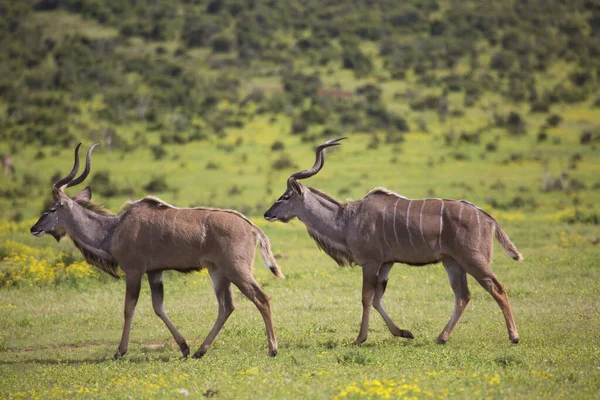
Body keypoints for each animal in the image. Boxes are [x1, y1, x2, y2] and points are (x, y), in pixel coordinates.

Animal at [31, 144, 284, 360]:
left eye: (52, 209)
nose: (34, 228)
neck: (113, 229)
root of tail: (253, 228)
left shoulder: (134, 270)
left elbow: (129, 307)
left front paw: (120, 351)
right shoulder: (155, 272)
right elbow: (158, 307)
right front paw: (184, 347)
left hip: (237, 270)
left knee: (261, 298)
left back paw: (272, 349)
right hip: (219, 273)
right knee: (227, 306)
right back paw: (200, 350)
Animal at [264, 139, 524, 346]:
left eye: (285, 196)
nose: (267, 213)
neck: (347, 219)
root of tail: (487, 218)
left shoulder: (371, 262)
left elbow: (366, 297)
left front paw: (359, 339)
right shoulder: (386, 263)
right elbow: (378, 298)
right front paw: (404, 332)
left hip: (474, 260)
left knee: (497, 288)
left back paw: (514, 336)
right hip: (452, 263)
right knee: (463, 296)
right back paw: (441, 337)